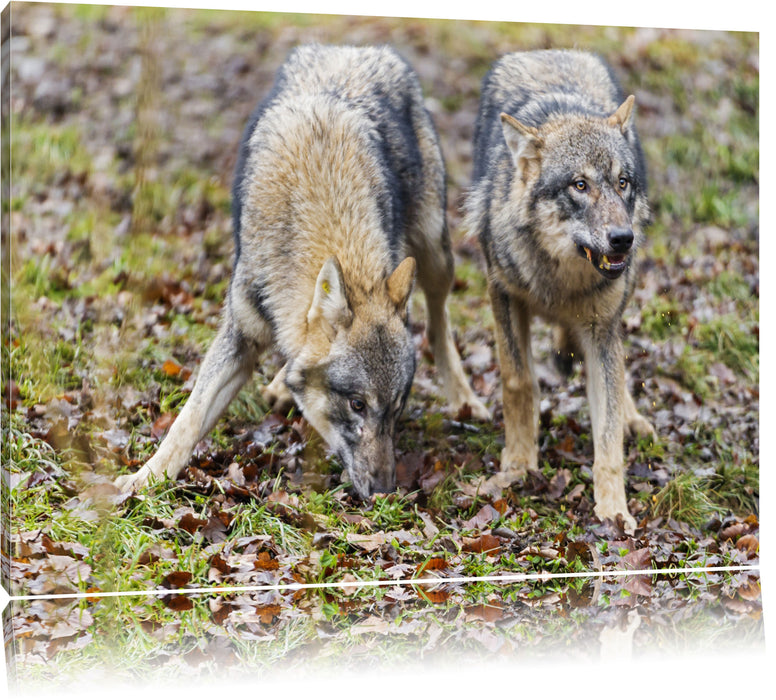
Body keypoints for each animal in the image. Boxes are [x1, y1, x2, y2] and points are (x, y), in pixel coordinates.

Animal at [116, 45, 488, 498]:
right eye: (357, 405)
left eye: (397, 409)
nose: (385, 491)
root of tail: (355, 48)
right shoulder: (239, 335)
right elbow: (189, 420)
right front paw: (143, 479)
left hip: (434, 252)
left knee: (438, 320)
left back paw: (464, 397)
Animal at [464, 49, 656, 532]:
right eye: (580, 185)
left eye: (622, 182)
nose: (623, 239)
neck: (561, 283)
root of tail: (549, 50)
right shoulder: (502, 294)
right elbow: (518, 383)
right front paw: (517, 465)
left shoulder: (602, 328)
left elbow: (608, 430)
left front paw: (614, 511)